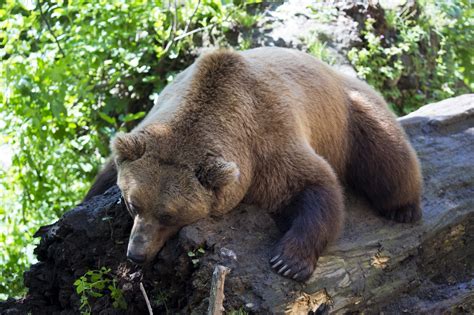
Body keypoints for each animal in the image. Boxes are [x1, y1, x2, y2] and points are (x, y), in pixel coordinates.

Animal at [84, 47, 422, 284]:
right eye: (133, 204)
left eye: (169, 214)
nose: (136, 253)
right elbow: (104, 176)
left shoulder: (267, 143)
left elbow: (315, 184)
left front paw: (288, 262)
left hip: (351, 116)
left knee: (388, 158)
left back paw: (404, 209)